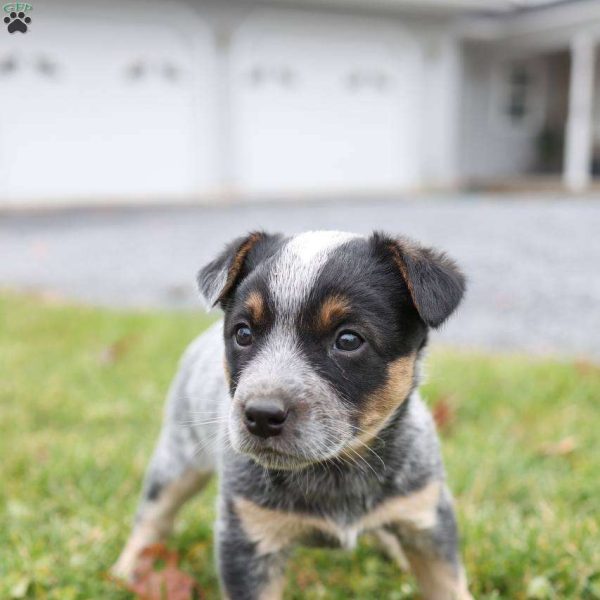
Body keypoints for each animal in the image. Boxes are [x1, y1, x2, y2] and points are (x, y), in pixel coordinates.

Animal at [113, 231, 474, 600]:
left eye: (348, 339)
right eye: (243, 333)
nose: (260, 415)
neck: (338, 472)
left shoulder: (429, 517)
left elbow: (448, 585)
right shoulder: (248, 538)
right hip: (179, 457)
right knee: (154, 516)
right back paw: (124, 573)